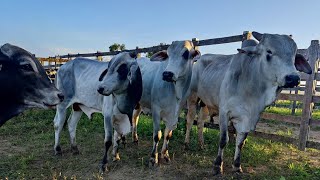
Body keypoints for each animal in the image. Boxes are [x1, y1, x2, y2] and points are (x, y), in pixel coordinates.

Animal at [184, 31, 312, 175]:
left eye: (294, 56)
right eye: (269, 51)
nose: (293, 78)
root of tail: (199, 59)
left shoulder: (250, 117)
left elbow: (241, 142)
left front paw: (237, 166)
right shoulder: (224, 113)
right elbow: (223, 140)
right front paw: (217, 166)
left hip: (206, 103)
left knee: (200, 122)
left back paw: (201, 144)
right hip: (192, 98)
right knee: (190, 120)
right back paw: (186, 144)